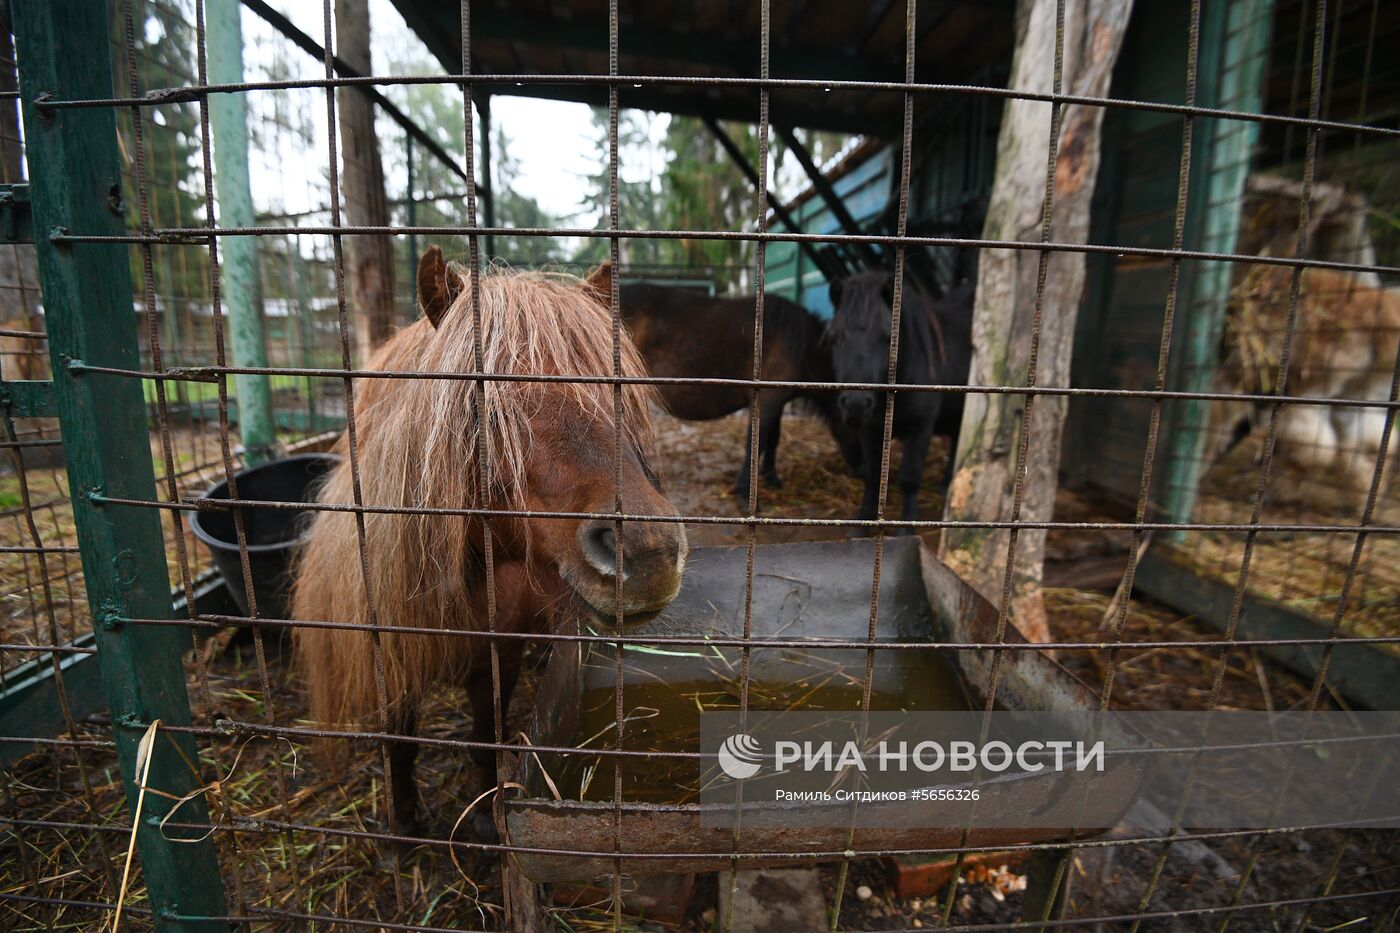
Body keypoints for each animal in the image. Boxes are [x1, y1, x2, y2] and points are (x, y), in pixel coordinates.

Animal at [295, 246, 688, 834]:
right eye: (484, 406)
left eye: (619, 396)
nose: (646, 554)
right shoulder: (393, 658)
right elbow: (399, 747)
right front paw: (404, 829)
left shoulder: (495, 657)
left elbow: (485, 737)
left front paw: (481, 822)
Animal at [613, 270, 862, 493]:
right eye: (860, 424)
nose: (859, 472)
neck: (801, 344)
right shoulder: (768, 399)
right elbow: (757, 440)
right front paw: (744, 490)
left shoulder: (776, 399)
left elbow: (773, 438)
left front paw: (771, 478)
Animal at [828, 268, 974, 529]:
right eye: (835, 337)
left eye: (888, 337)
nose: (856, 403)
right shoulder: (869, 430)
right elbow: (873, 477)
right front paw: (861, 527)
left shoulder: (920, 428)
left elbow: (910, 479)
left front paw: (906, 530)